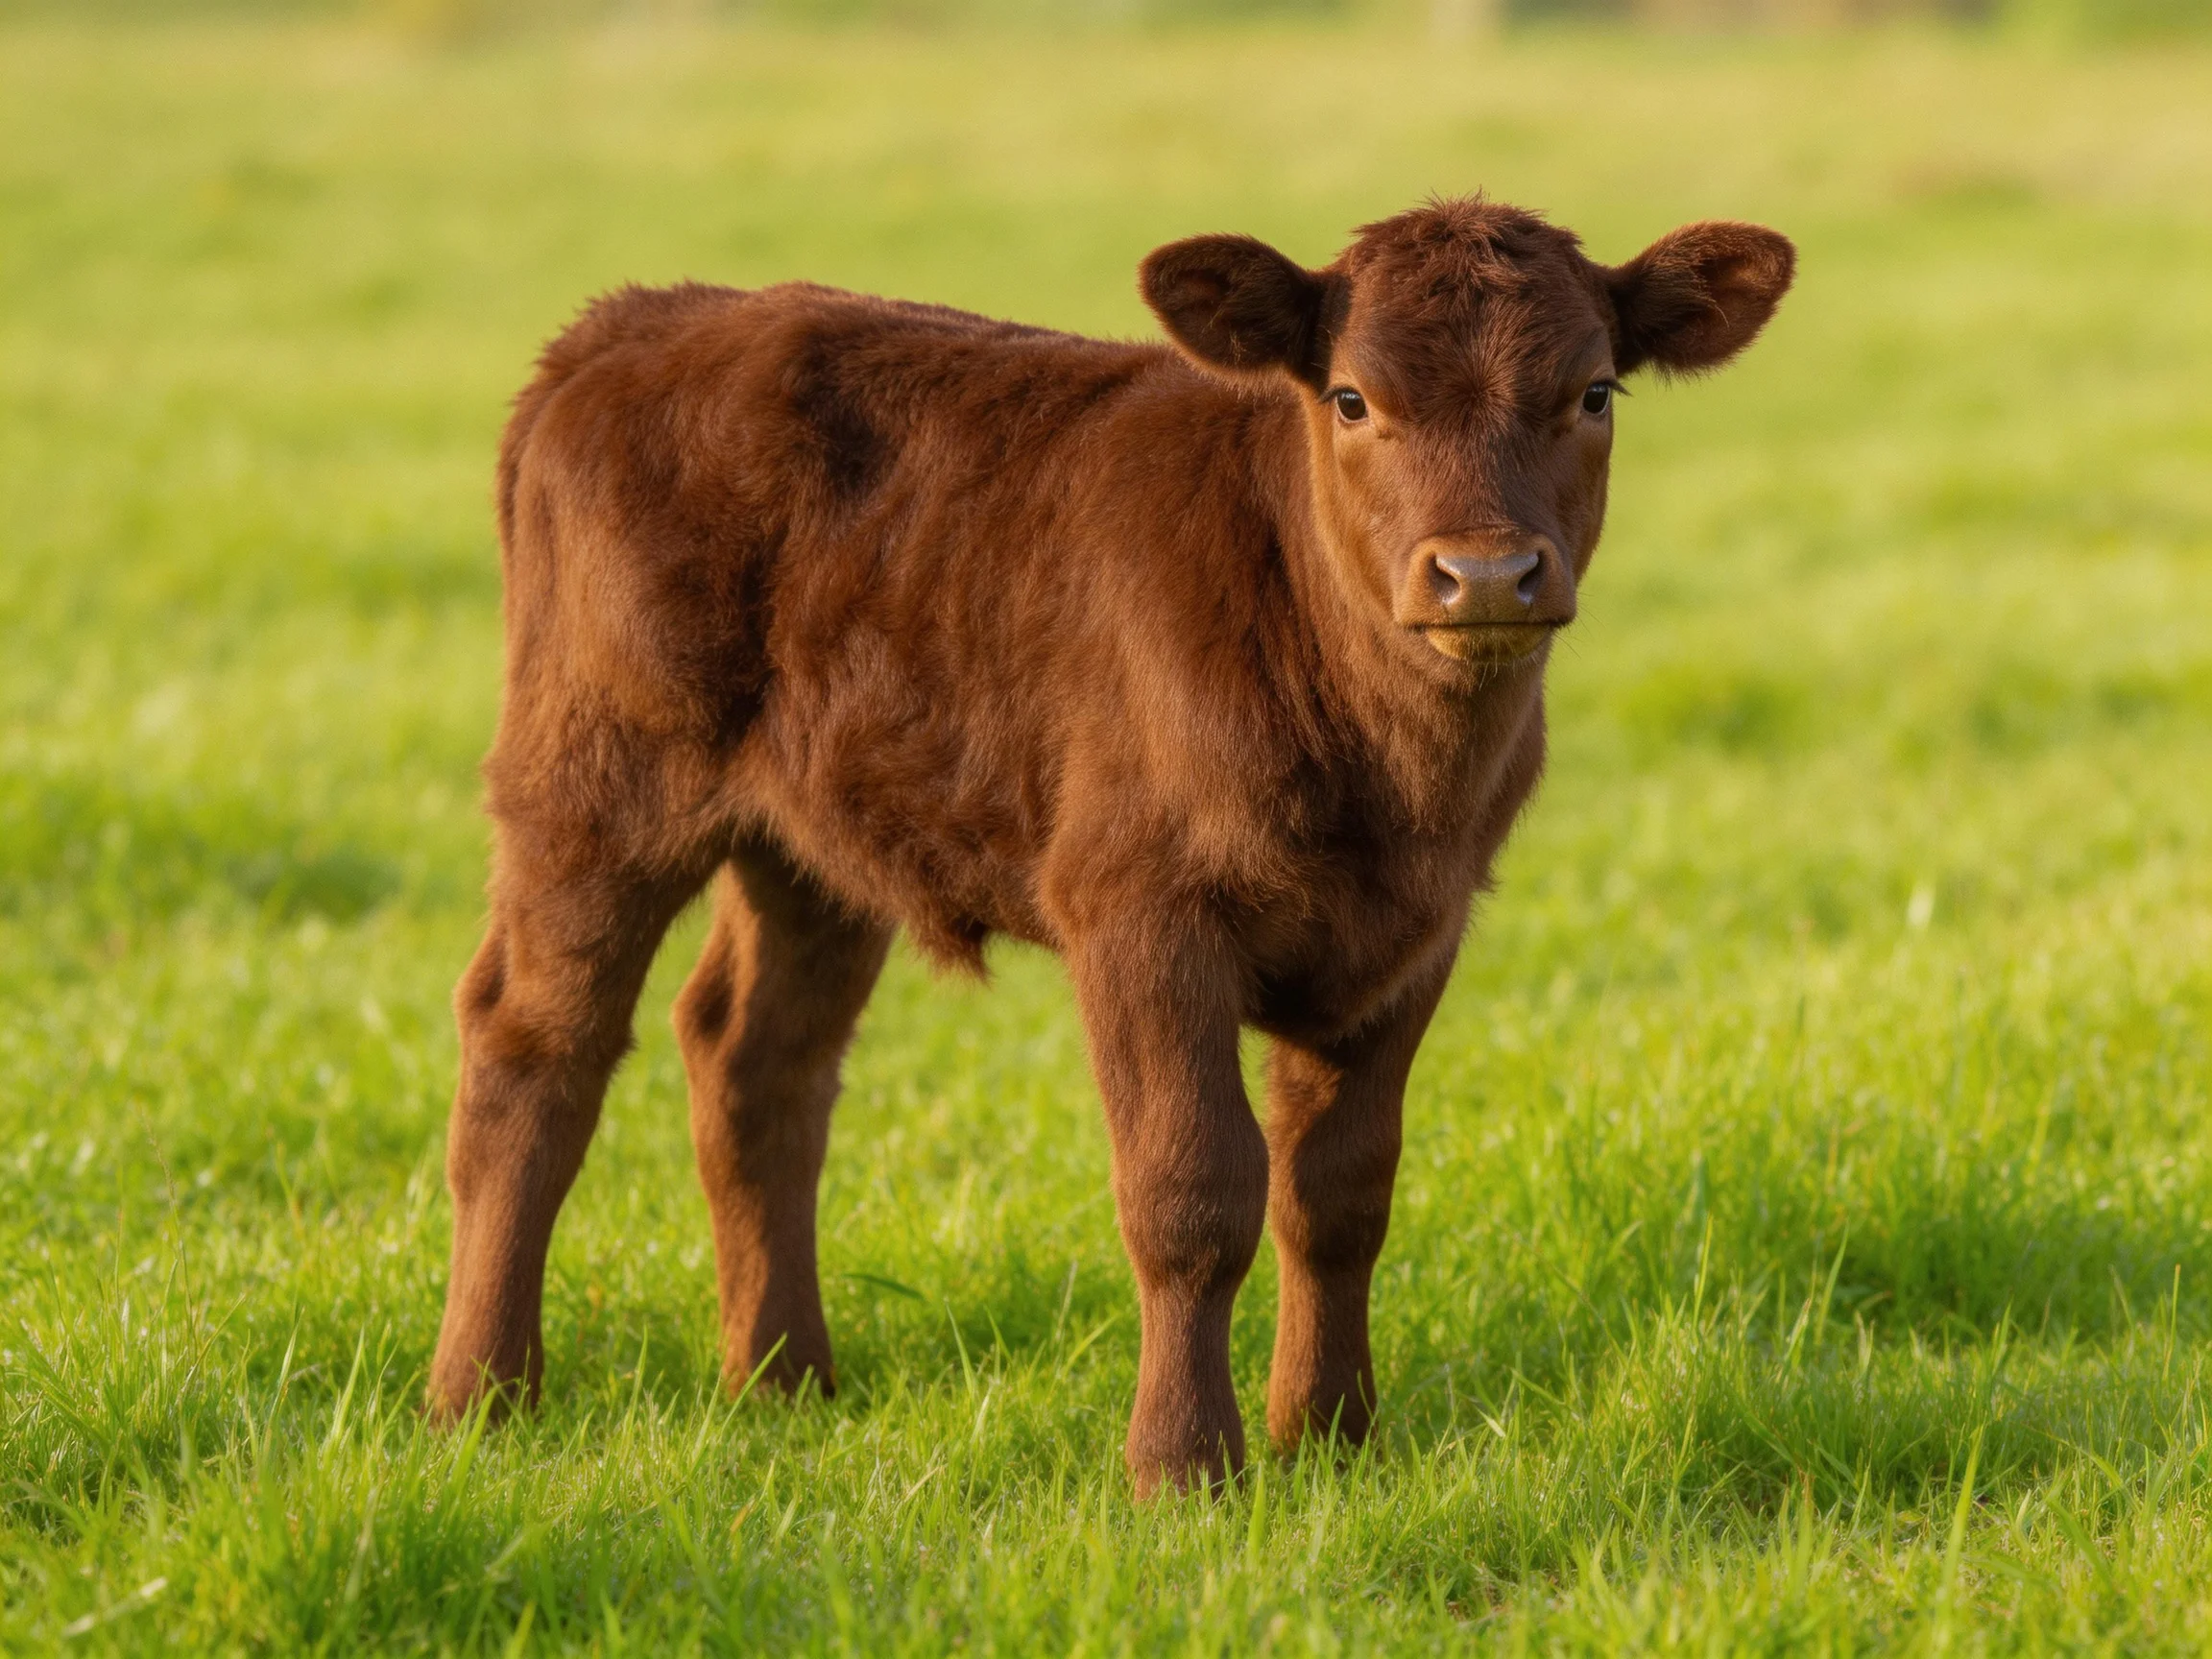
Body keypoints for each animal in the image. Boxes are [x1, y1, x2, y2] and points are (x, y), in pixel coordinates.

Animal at [424, 196, 1794, 1495]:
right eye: (1354, 396)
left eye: (1594, 391)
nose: (1489, 574)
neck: (1388, 768)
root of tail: (644, 318)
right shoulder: (1141, 911)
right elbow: (1192, 1192)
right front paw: (1184, 1467)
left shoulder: (1413, 936)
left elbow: (1341, 1193)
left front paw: (1332, 1440)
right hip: (592, 786)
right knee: (533, 1051)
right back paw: (481, 1396)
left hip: (812, 842)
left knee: (756, 1058)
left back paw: (781, 1379)